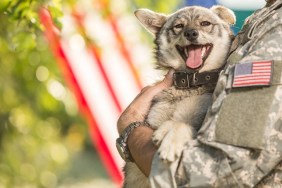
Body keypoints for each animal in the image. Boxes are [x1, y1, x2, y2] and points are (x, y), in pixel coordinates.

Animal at [123, 5, 236, 187]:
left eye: (205, 23)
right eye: (178, 26)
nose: (191, 33)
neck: (188, 84)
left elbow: (182, 125)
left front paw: (171, 137)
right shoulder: (152, 121)